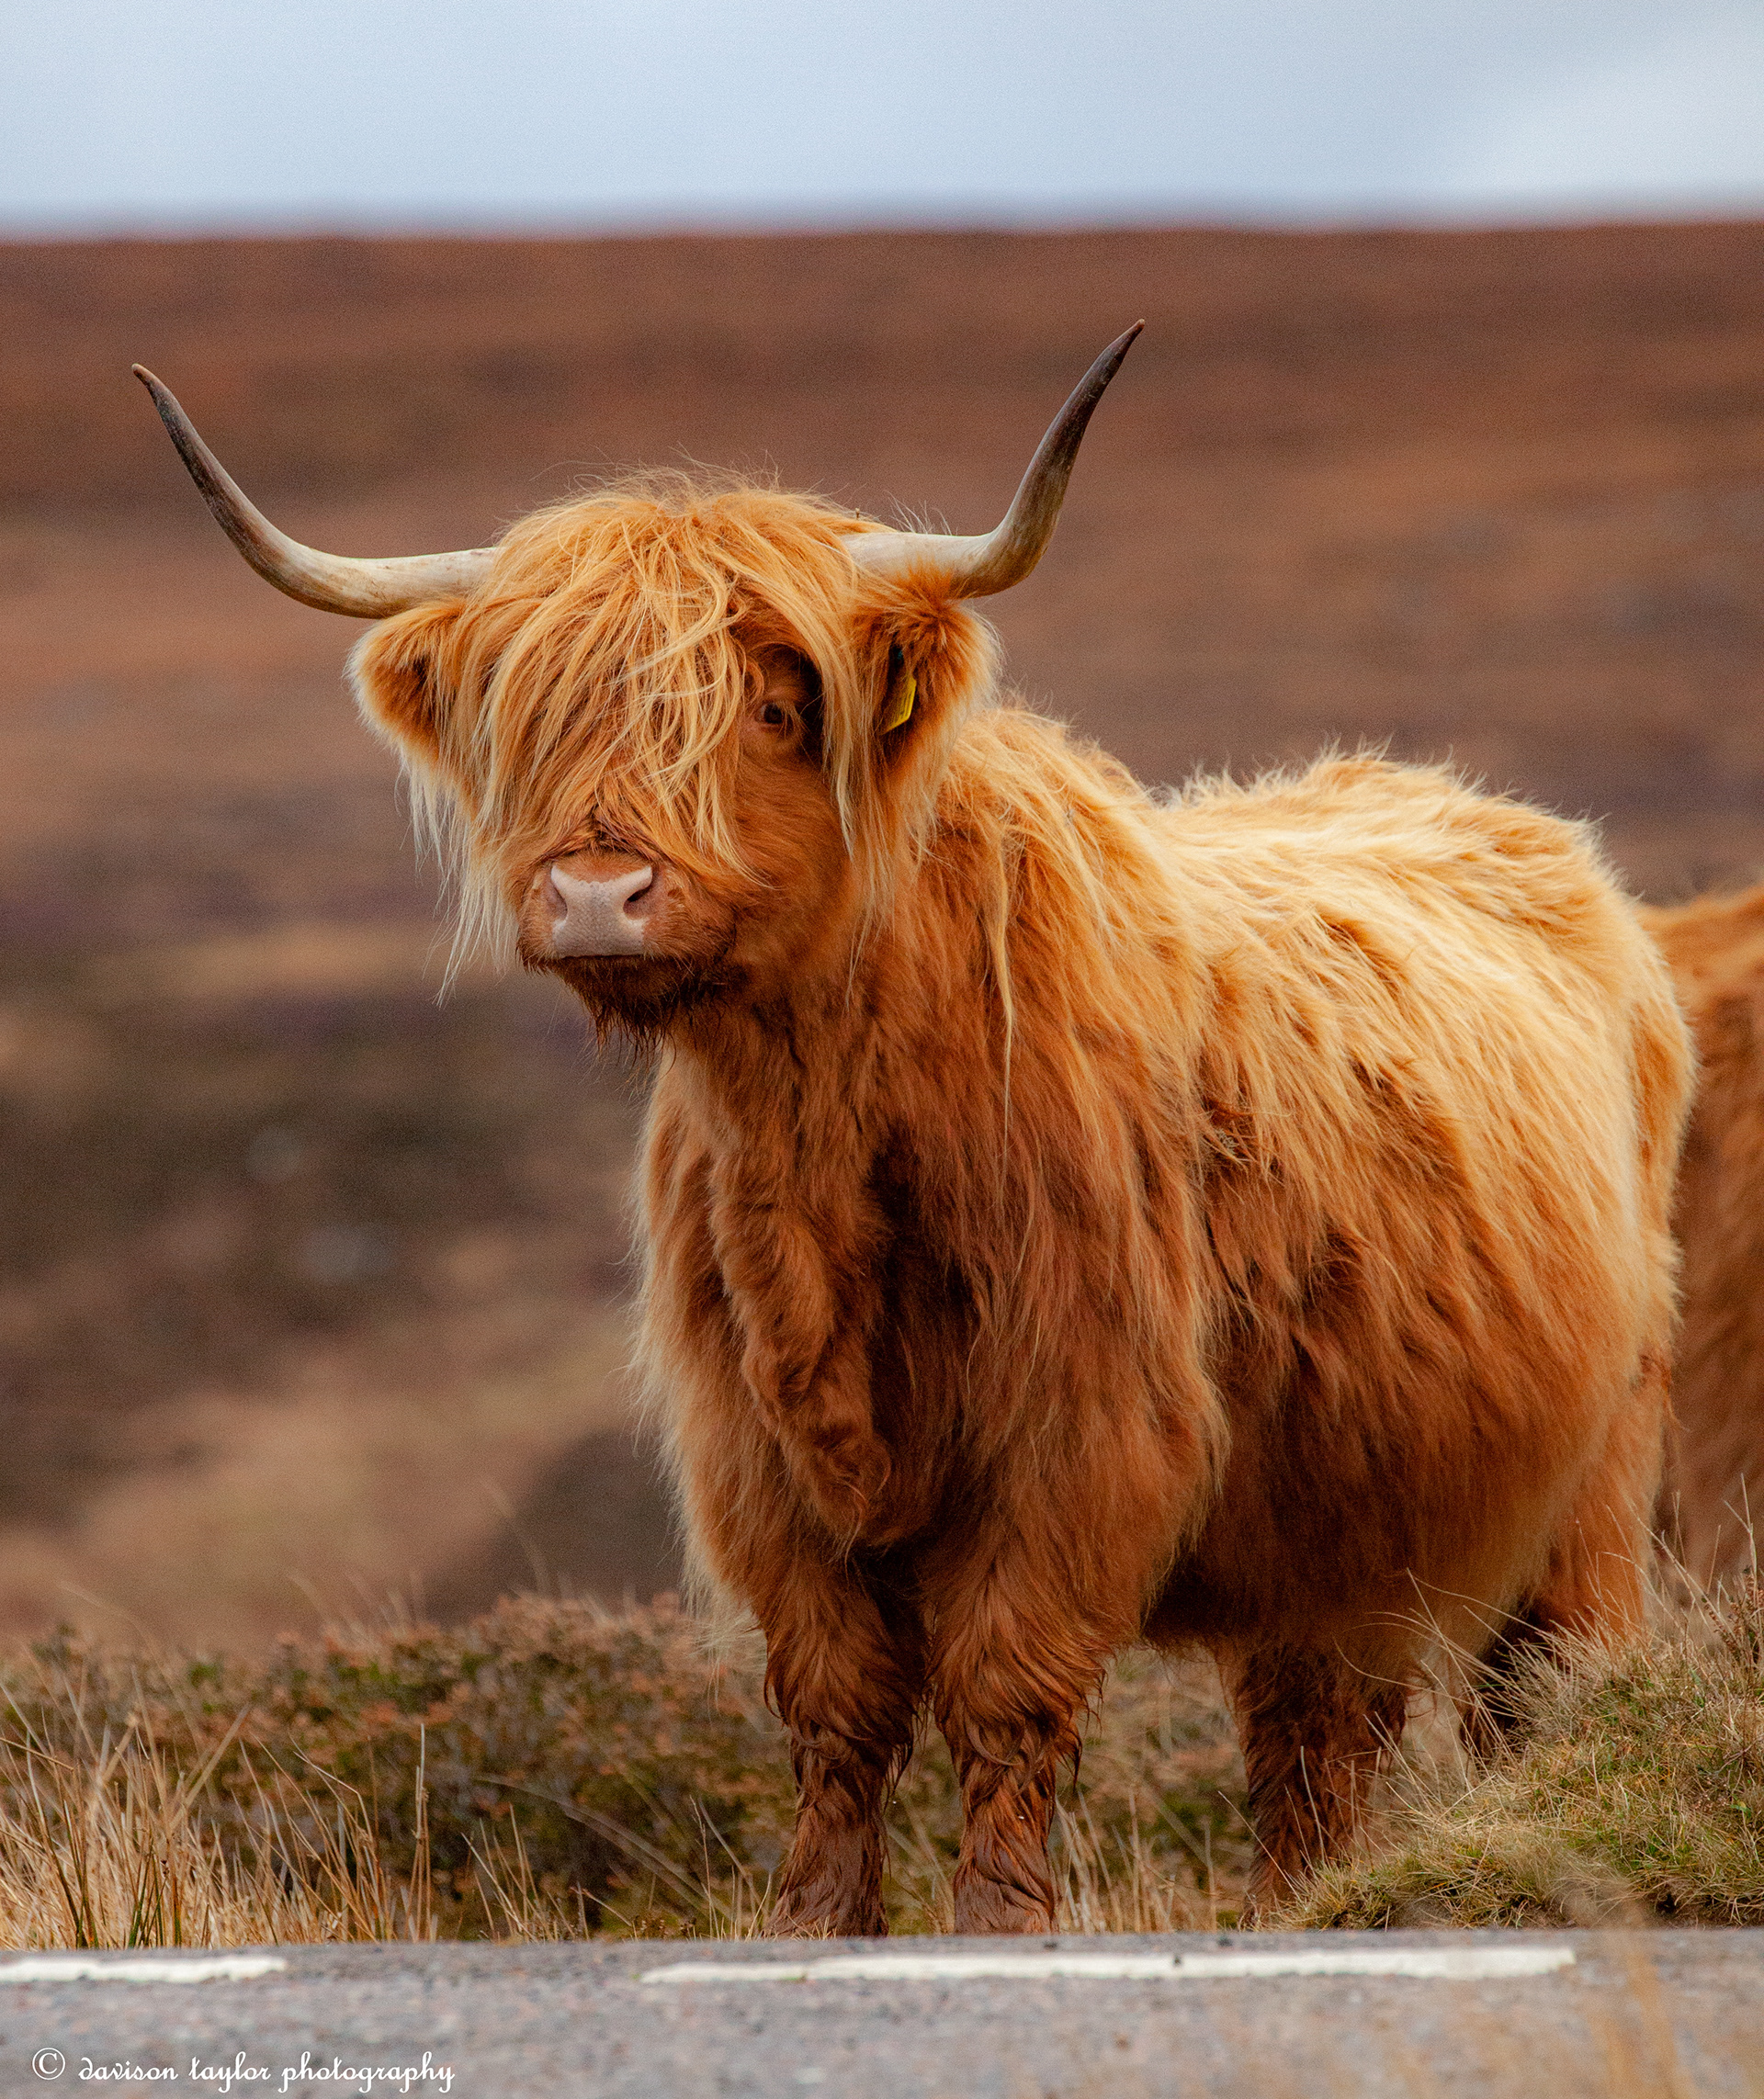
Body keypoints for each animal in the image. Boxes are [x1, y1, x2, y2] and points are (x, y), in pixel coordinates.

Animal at [135, 331, 1693, 1928]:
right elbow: (837, 1706)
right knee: (1318, 1731)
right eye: (543, 718)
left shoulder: (1076, 1434)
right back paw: (1297, 1901)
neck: (816, 1137)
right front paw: (813, 1921)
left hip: (1585, 1483)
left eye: (770, 709)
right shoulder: (760, 1469)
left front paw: (1000, 1921)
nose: (596, 893)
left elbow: (1004, 1689)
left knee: (1531, 1688)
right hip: (1334, 1528)